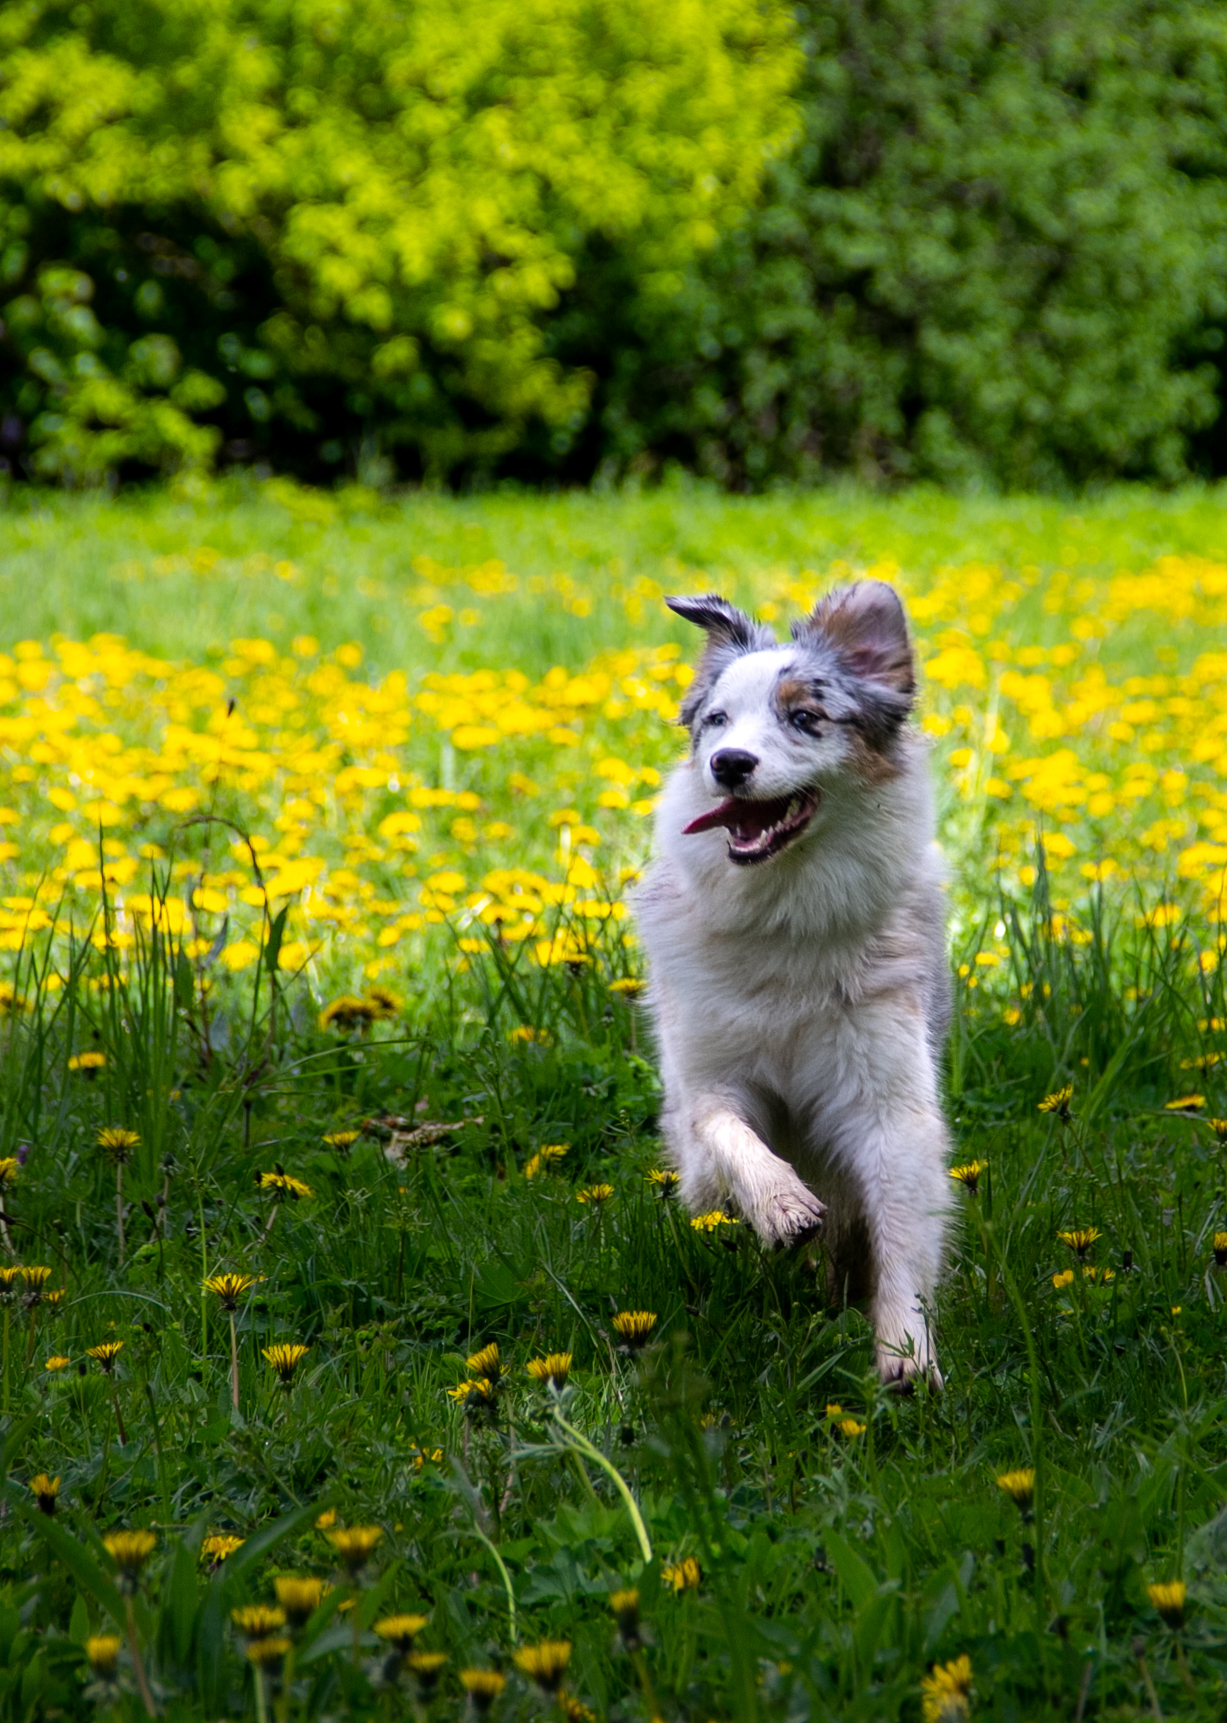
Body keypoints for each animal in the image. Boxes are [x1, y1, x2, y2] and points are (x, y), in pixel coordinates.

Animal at [637, 578, 951, 1385]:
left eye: (804, 717)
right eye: (715, 720)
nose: (728, 762)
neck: (784, 912)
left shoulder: (889, 1105)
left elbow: (901, 1233)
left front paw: (905, 1350)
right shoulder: (702, 1080)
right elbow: (725, 1127)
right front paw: (781, 1203)